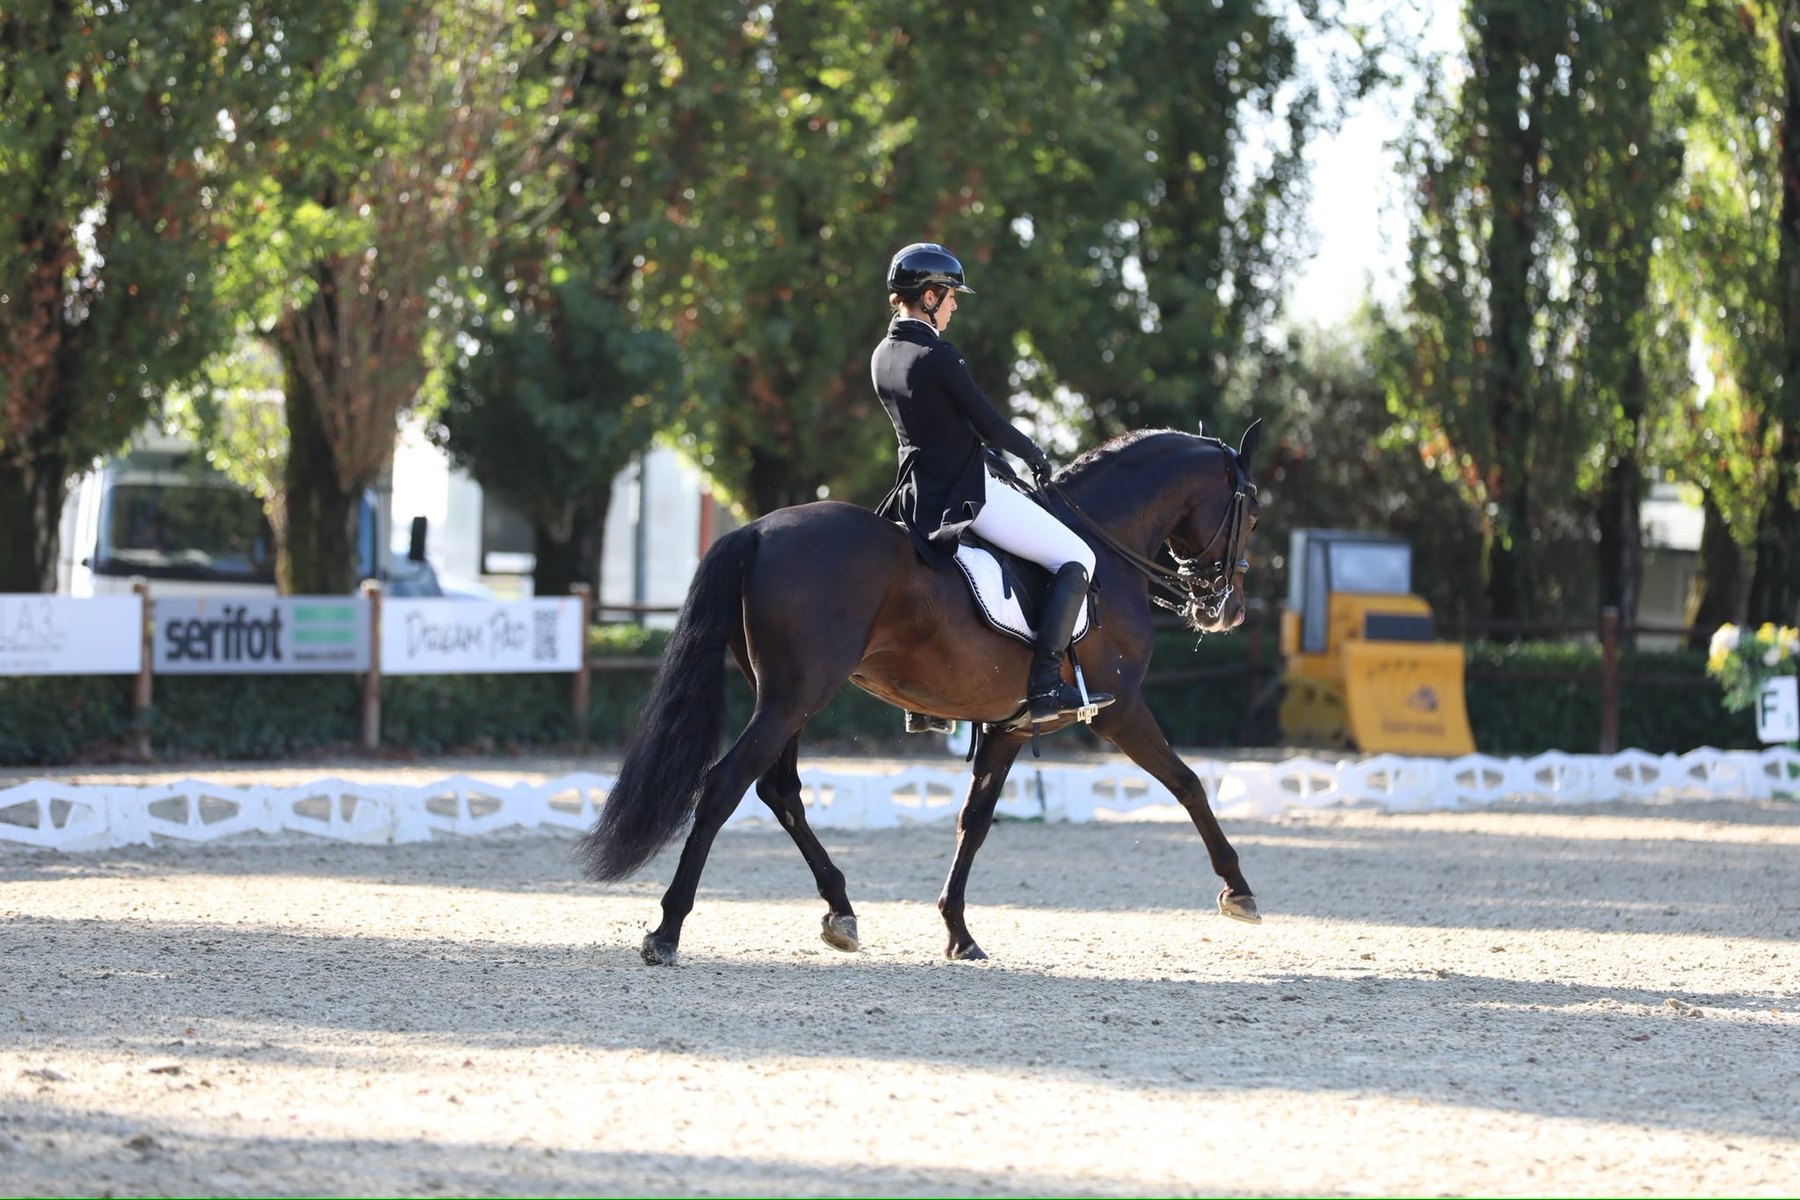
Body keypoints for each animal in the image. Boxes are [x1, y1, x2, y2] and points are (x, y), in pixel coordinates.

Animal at [578, 422, 1264, 964]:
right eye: (1253, 510)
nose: (1227, 611)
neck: (1105, 548)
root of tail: (759, 531)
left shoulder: (1012, 724)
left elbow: (974, 821)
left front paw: (959, 933)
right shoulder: (1119, 709)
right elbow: (1188, 783)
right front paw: (1239, 890)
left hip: (785, 698)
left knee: (779, 789)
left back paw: (841, 911)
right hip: (793, 696)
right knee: (725, 785)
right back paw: (667, 930)